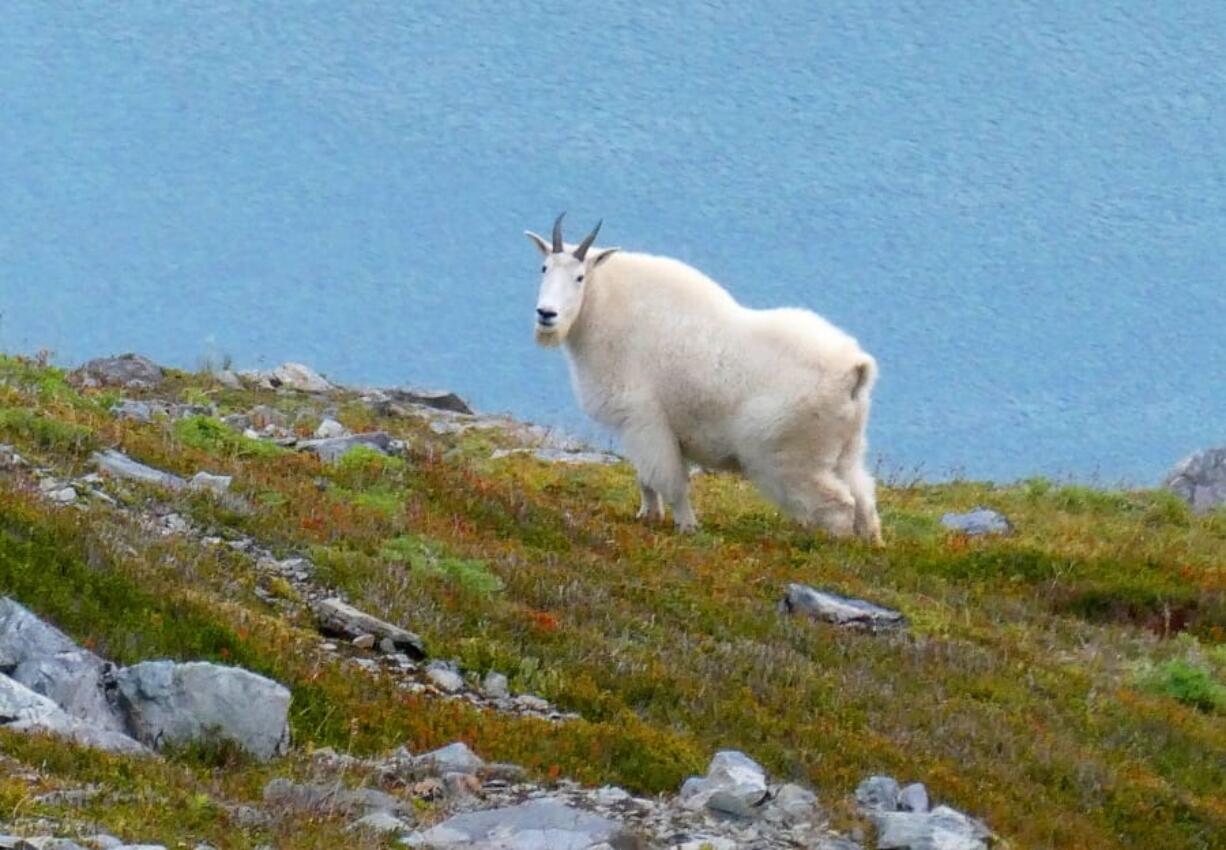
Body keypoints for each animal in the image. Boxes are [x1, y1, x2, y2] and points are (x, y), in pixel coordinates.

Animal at [524, 213, 882, 544]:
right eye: (544, 268)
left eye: (579, 277)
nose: (547, 314)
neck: (605, 310)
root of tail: (855, 369)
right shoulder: (638, 427)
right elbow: (645, 478)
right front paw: (647, 515)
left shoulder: (645, 419)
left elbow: (669, 480)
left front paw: (686, 526)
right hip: (846, 448)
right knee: (863, 496)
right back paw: (871, 545)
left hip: (793, 456)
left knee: (838, 505)